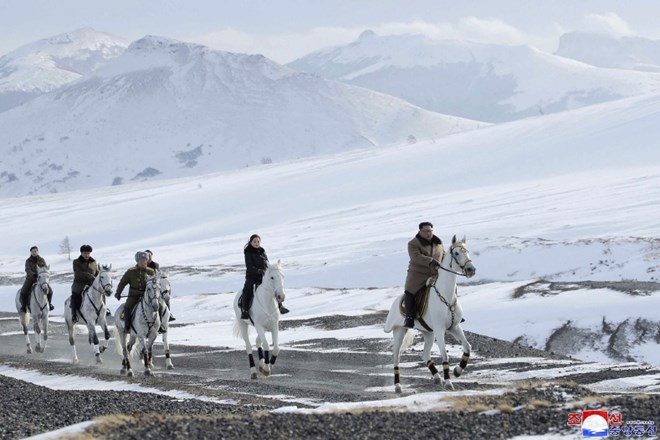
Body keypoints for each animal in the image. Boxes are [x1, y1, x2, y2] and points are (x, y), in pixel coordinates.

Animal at [384, 235, 476, 394]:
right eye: (456, 253)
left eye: (468, 251)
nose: (471, 269)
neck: (446, 296)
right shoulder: (440, 329)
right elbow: (444, 354)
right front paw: (448, 382)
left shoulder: (454, 327)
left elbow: (467, 347)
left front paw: (458, 371)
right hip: (400, 331)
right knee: (396, 356)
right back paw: (398, 386)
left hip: (428, 333)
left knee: (425, 354)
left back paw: (437, 377)